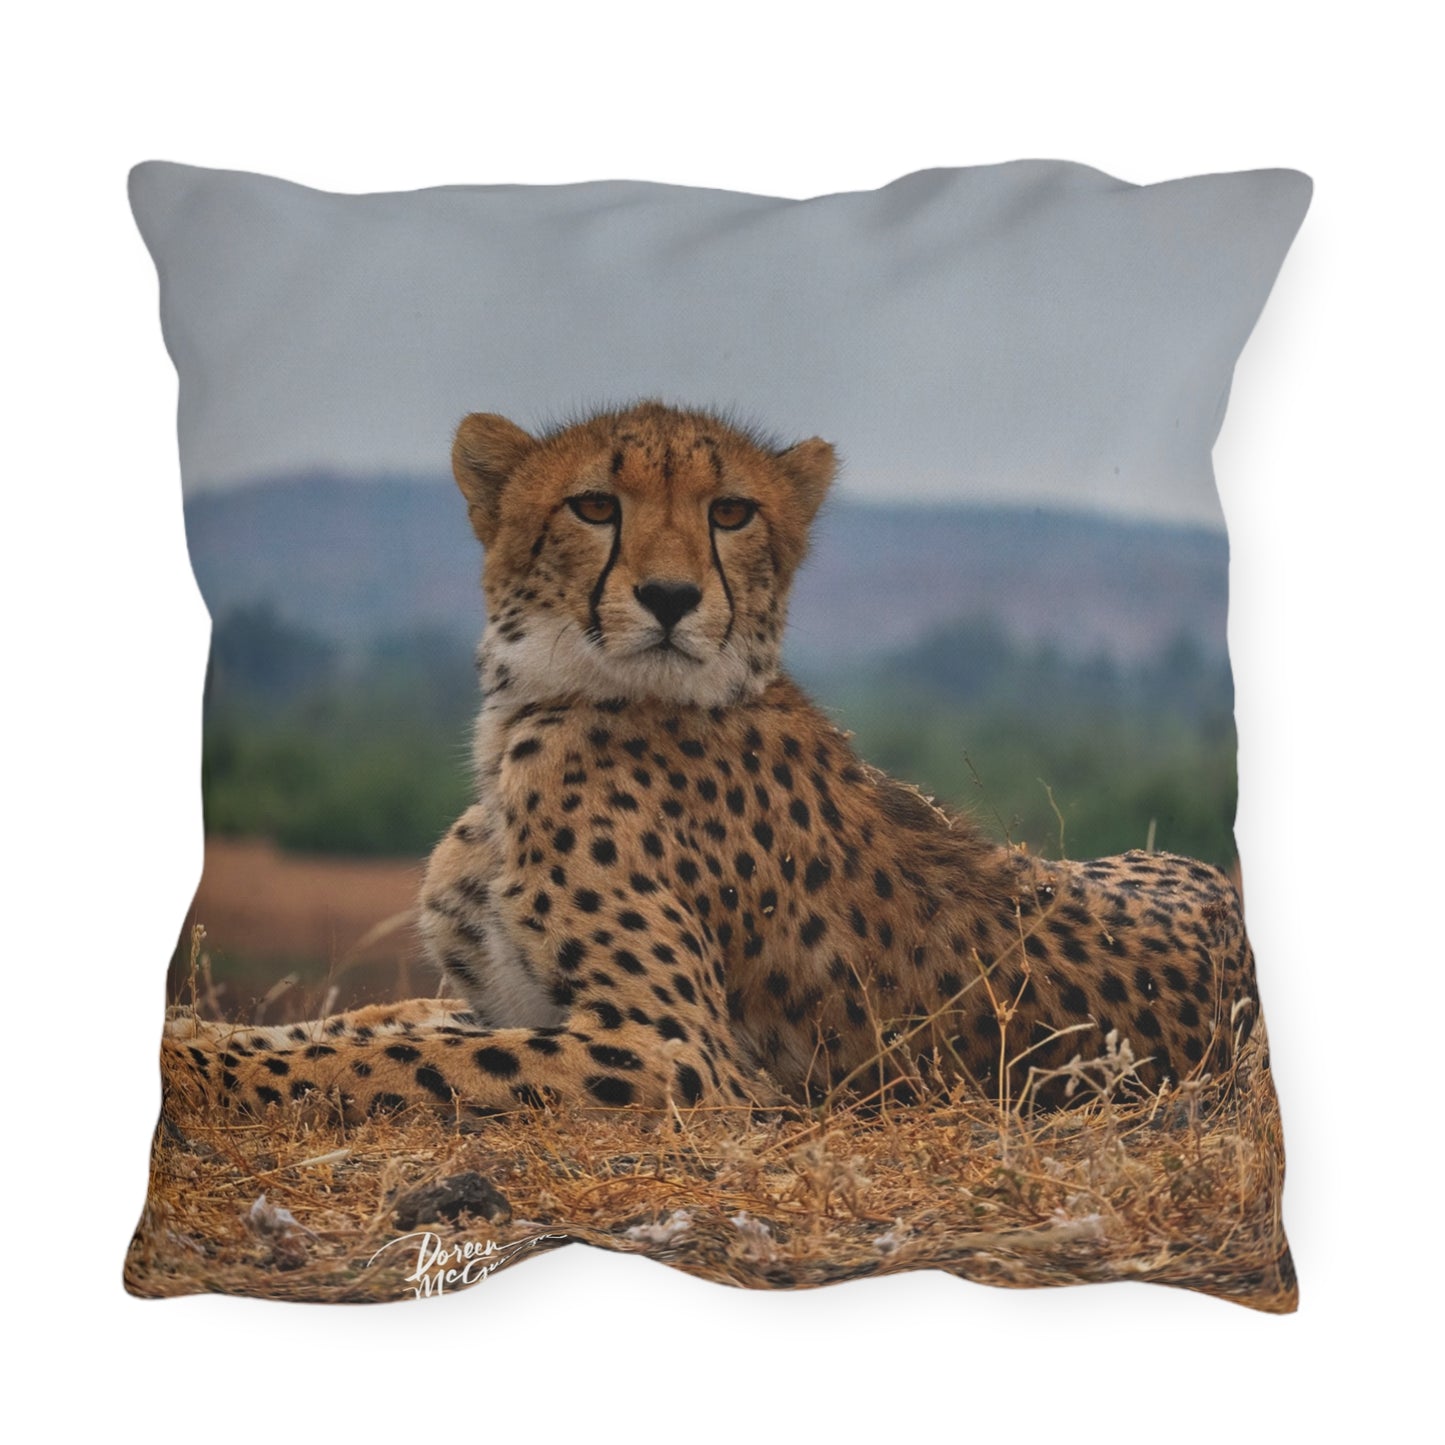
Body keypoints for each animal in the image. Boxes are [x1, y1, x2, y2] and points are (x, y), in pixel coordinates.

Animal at [162, 401, 1265, 1123]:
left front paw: (201, 1071)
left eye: (729, 512)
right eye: (593, 505)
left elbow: (393, 1057)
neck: (543, 706)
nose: (667, 596)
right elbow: (373, 1023)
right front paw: (201, 1039)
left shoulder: (678, 1053)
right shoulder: (505, 1001)